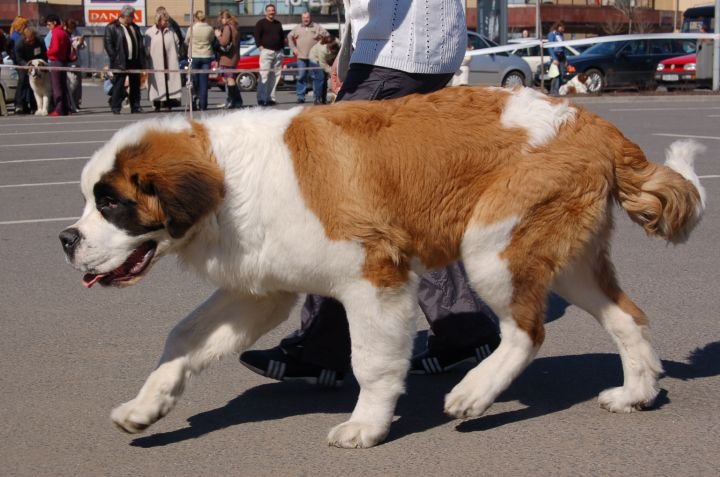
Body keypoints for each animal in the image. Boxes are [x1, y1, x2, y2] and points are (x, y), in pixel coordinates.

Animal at [60, 85, 704, 446]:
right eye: (93, 199)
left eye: (110, 202)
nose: (67, 239)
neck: (229, 179)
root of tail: (592, 122)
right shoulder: (259, 292)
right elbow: (183, 338)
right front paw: (145, 407)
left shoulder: (373, 278)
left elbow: (370, 361)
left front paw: (366, 427)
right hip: (562, 256)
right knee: (626, 317)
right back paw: (637, 392)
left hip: (492, 247)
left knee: (527, 331)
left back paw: (474, 393)